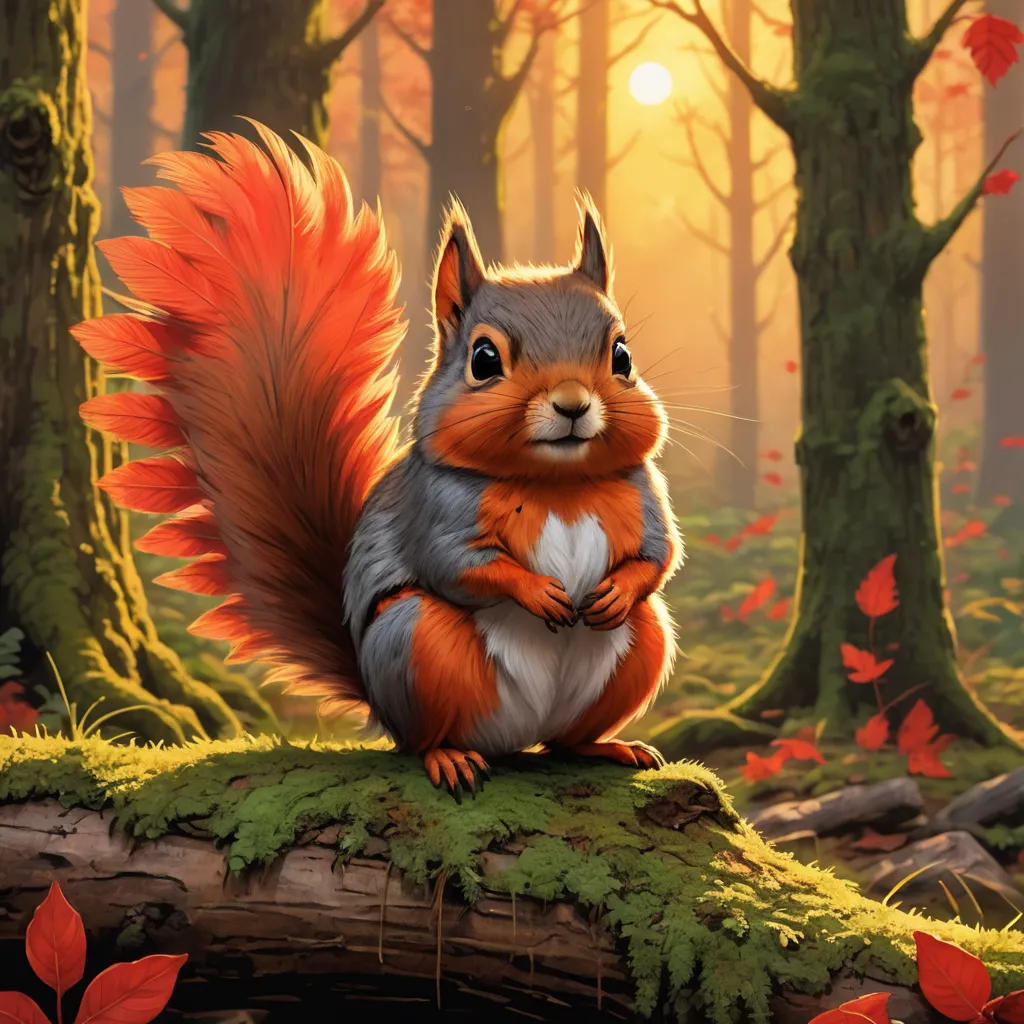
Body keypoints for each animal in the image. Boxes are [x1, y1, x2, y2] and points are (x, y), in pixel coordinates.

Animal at [72, 123, 682, 799]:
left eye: (622, 356)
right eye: (484, 360)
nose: (574, 405)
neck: (557, 485)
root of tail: (515, 737)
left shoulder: (645, 494)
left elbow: (658, 557)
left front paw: (616, 590)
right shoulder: (434, 511)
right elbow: (458, 566)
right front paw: (537, 593)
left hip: (646, 643)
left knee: (568, 737)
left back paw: (609, 745)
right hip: (413, 643)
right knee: (421, 737)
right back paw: (450, 757)